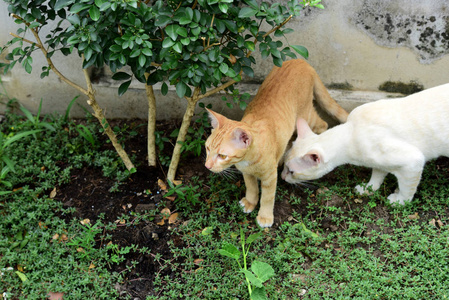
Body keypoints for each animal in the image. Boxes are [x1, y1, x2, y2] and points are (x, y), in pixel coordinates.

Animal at [203, 59, 346, 227]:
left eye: (222, 156)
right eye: (207, 149)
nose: (207, 166)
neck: (246, 161)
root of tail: (300, 60)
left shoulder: (270, 177)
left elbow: (267, 197)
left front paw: (264, 216)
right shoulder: (246, 173)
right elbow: (251, 187)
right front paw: (250, 202)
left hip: (306, 115)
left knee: (323, 124)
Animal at [282, 82, 448, 204]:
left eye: (291, 171)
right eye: (283, 167)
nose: (283, 177)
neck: (352, 132)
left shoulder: (413, 161)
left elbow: (407, 189)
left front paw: (399, 201)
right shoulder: (380, 161)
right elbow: (377, 176)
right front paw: (368, 189)